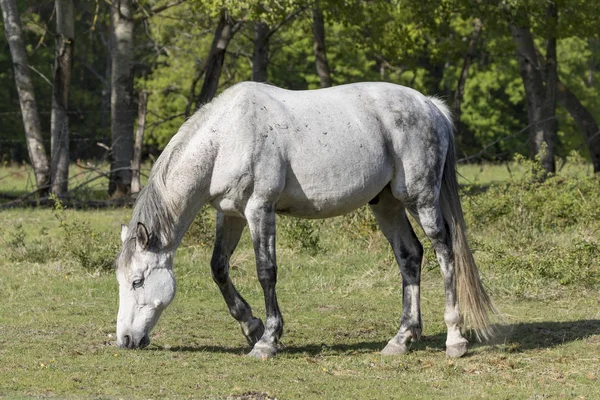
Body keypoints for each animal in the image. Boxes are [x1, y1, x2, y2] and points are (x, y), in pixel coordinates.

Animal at [115, 81, 494, 360]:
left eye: (136, 281)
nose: (125, 339)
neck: (226, 137)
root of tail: (430, 105)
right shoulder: (231, 214)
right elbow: (218, 268)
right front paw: (251, 326)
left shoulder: (259, 210)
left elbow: (266, 272)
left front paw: (267, 340)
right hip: (386, 204)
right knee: (410, 255)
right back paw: (401, 339)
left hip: (421, 199)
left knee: (445, 251)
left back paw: (455, 340)